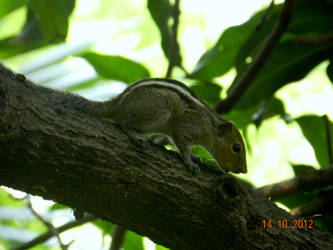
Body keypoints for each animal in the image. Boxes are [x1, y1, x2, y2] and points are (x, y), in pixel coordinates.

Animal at [39, 77, 246, 175]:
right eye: (236, 147)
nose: (244, 170)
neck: (210, 125)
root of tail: (118, 102)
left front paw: (195, 157)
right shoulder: (186, 126)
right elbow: (181, 143)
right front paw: (190, 161)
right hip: (161, 106)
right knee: (122, 121)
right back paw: (136, 135)